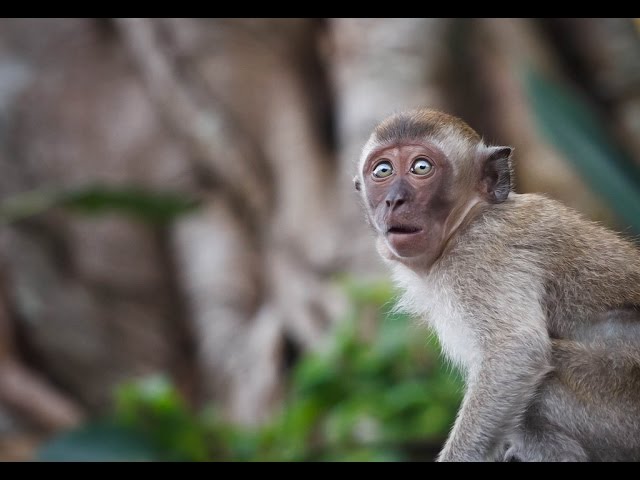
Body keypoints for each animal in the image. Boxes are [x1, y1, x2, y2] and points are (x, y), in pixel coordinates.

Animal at [354, 108, 640, 461]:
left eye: (421, 167)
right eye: (383, 170)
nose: (394, 200)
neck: (467, 221)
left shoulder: (481, 255)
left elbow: (515, 351)